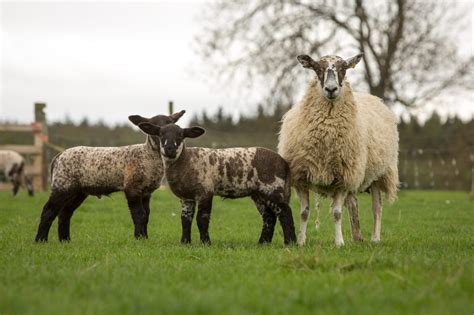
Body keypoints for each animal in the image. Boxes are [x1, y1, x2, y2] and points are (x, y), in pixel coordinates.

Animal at [34, 111, 185, 244]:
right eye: (153, 128)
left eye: (171, 124)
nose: (168, 145)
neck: (147, 156)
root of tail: (58, 156)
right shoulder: (132, 187)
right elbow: (139, 215)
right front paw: (139, 239)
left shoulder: (147, 192)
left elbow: (146, 215)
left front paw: (145, 238)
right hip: (62, 184)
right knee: (48, 211)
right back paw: (41, 240)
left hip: (78, 191)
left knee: (65, 213)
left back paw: (65, 240)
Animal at [135, 122, 296, 246]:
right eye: (161, 135)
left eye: (180, 136)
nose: (170, 149)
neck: (185, 161)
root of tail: (283, 162)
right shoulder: (186, 197)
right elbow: (185, 220)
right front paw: (185, 242)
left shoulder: (205, 191)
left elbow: (202, 219)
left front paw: (205, 243)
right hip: (258, 193)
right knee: (269, 217)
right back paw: (263, 243)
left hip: (272, 186)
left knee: (285, 212)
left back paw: (290, 243)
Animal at [280, 53, 398, 248]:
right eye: (317, 68)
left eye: (344, 69)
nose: (331, 89)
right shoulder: (300, 176)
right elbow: (304, 212)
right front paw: (301, 242)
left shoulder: (343, 177)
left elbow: (337, 213)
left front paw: (339, 243)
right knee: (353, 204)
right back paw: (357, 237)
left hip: (379, 173)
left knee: (377, 207)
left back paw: (374, 239)